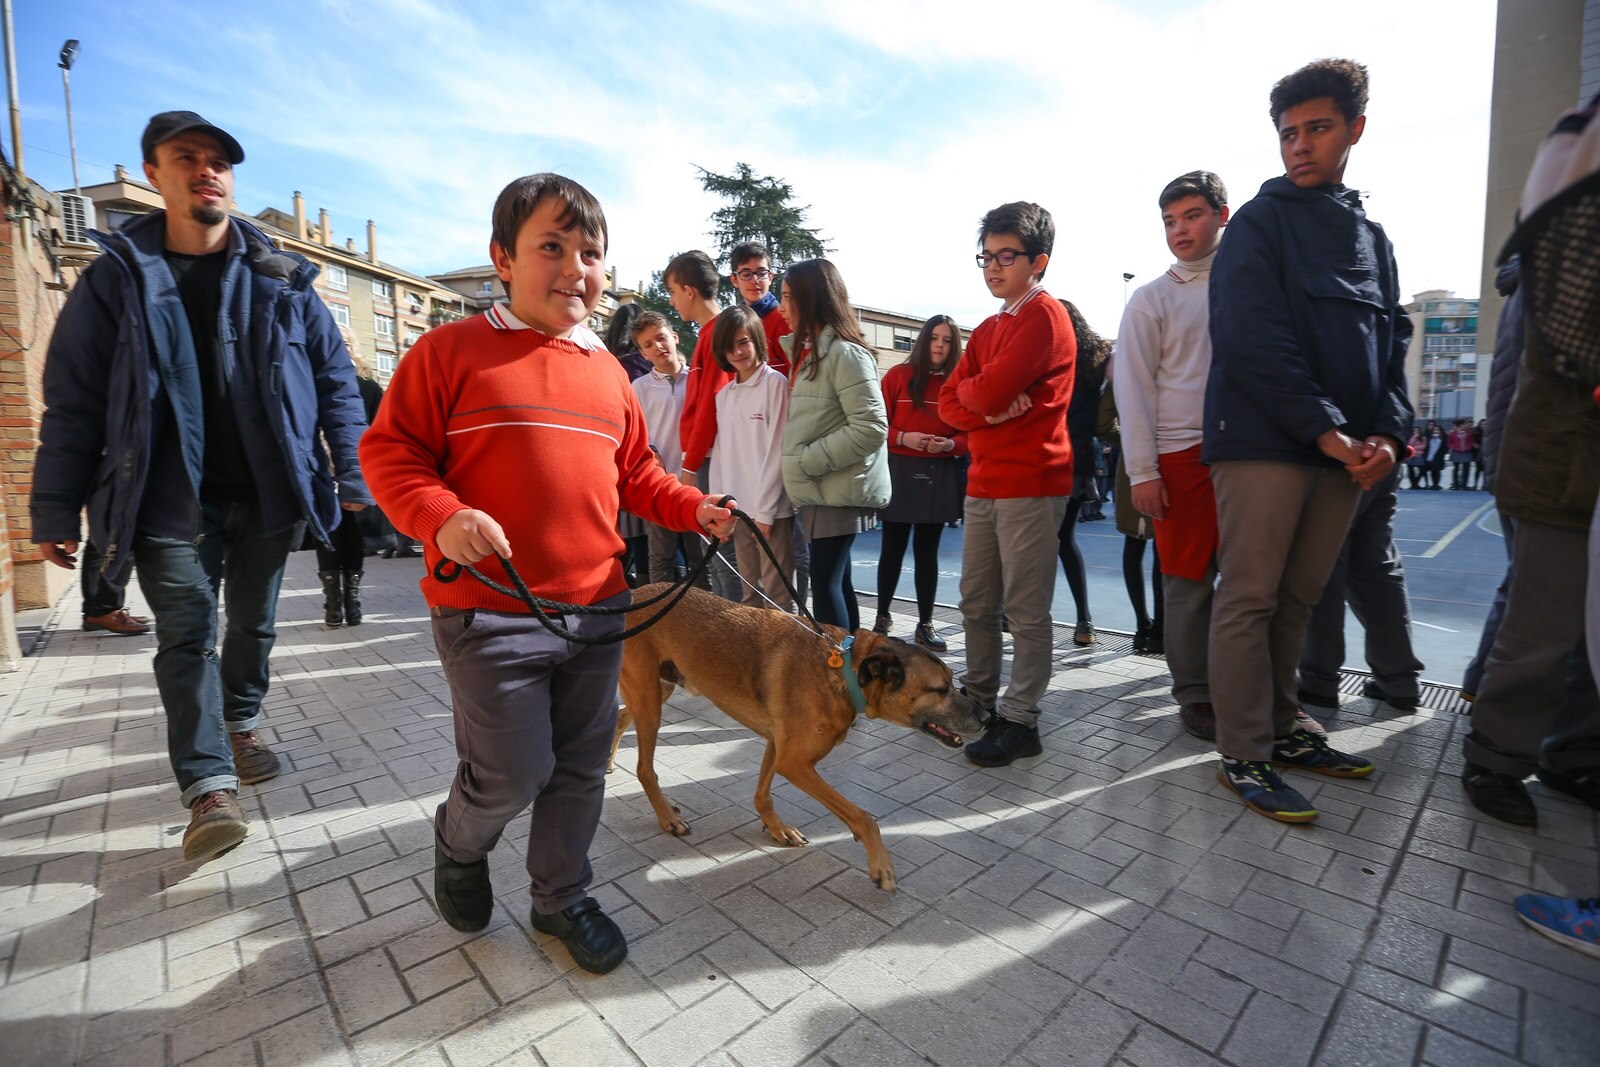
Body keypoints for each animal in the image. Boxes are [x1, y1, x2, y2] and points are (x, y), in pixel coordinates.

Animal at [614, 585, 979, 895]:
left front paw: (777, 829)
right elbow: (863, 817)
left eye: (952, 682)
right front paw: (881, 866)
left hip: (657, 691)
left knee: (619, 718)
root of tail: (634, 594)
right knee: (645, 769)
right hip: (650, 702)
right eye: (941, 689)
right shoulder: (795, 763)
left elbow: (763, 794)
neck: (845, 670)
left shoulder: (778, 745)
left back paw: (608, 765)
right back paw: (667, 817)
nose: (986, 717)